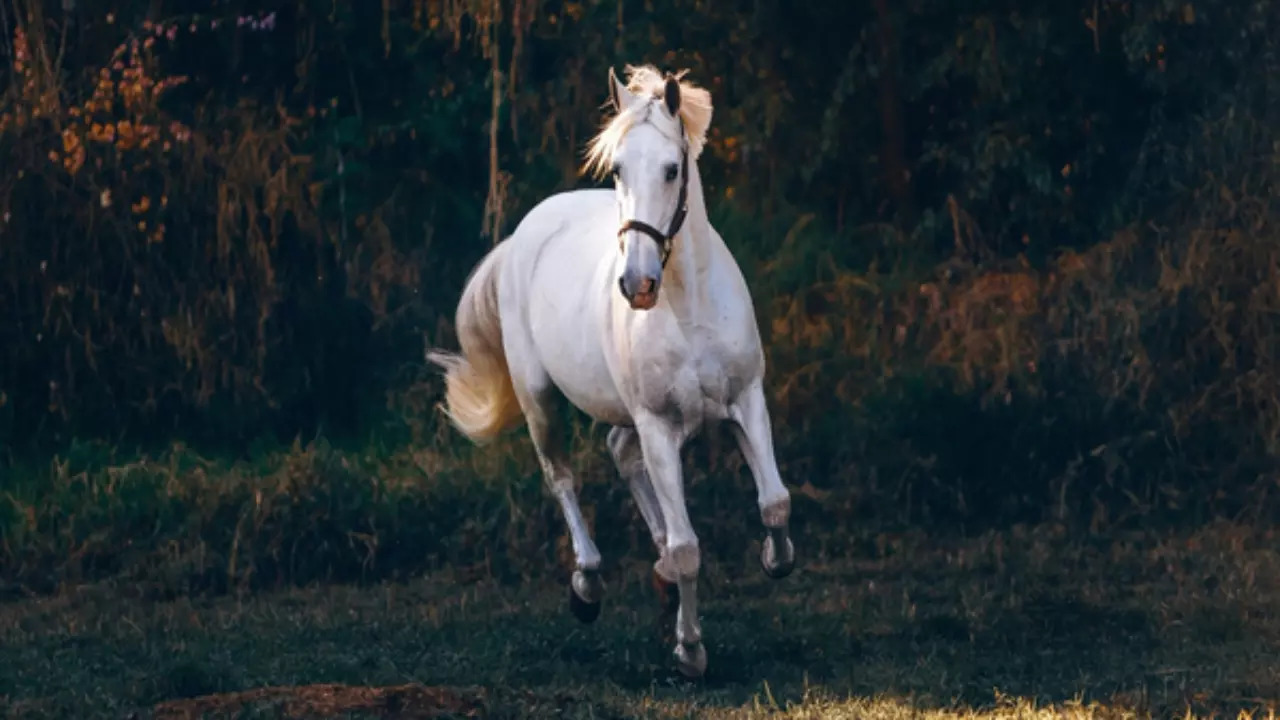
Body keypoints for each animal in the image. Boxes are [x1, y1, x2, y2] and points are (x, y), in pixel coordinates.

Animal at [424, 64, 793, 676]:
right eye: (618, 169)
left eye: (672, 169)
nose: (636, 285)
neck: (687, 306)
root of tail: (525, 233)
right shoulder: (658, 425)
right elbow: (690, 548)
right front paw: (690, 650)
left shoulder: (747, 400)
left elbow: (775, 504)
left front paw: (770, 558)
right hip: (540, 400)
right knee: (563, 478)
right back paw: (588, 586)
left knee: (620, 453)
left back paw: (658, 577)